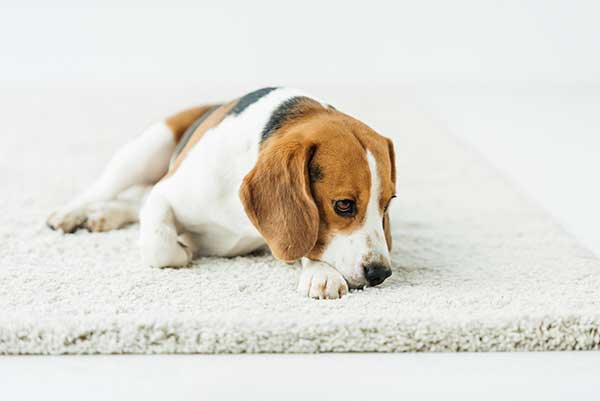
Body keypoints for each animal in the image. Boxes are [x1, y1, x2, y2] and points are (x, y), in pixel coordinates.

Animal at [47, 86, 396, 296]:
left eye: (387, 204)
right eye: (343, 205)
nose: (380, 273)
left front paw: (320, 272)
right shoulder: (165, 193)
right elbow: (159, 245)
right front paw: (184, 249)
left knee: (135, 203)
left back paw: (104, 215)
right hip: (145, 150)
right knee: (106, 188)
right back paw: (72, 213)